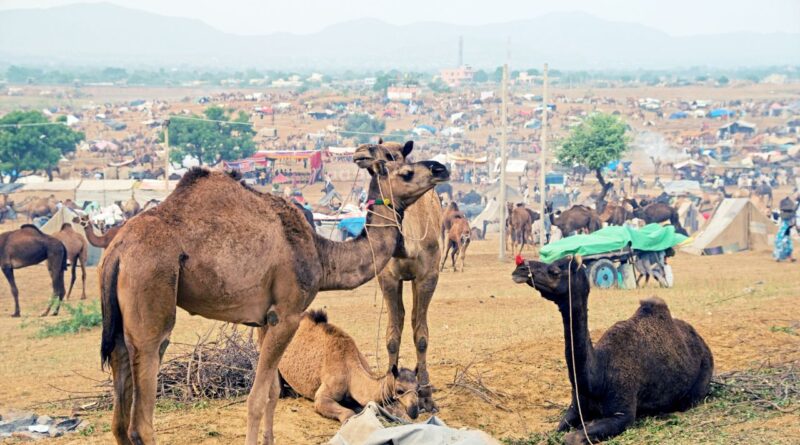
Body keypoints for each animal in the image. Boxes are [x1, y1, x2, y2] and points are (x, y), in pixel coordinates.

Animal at [278, 310, 422, 422]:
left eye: (418, 388)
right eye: (399, 390)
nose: (414, 410)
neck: (351, 370)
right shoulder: (323, 395)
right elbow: (348, 412)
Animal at [354, 140, 444, 412]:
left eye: (389, 156)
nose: (360, 152)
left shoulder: (428, 276)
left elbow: (421, 335)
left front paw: (426, 396)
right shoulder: (388, 278)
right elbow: (392, 335)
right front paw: (390, 388)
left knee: (415, 321)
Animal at [512, 255, 712, 442]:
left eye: (554, 271)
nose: (520, 269)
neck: (597, 378)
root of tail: (703, 343)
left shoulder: (622, 414)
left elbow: (572, 438)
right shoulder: (575, 409)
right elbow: (556, 430)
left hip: (702, 376)